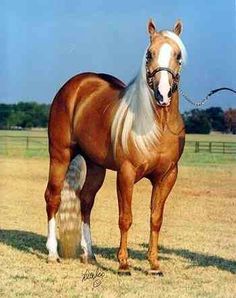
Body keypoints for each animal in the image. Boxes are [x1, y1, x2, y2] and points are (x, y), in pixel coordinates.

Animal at [45, 18, 187, 274]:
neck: (158, 125)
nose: (162, 95)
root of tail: (76, 85)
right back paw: (52, 253)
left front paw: (154, 264)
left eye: (178, 55)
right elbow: (125, 218)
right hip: (59, 155)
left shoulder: (167, 176)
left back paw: (90, 254)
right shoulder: (126, 174)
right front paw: (123, 264)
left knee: (86, 201)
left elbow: (156, 219)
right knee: (53, 197)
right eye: (149, 54)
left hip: (95, 166)